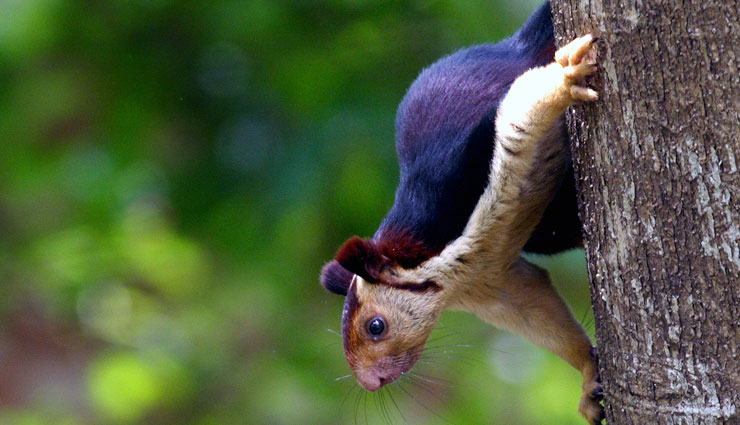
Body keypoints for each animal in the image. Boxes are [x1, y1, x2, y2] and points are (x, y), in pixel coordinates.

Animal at [320, 3, 604, 423]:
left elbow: (519, 113)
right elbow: (541, 315)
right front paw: (587, 377)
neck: (447, 266)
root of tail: (512, 47)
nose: (371, 383)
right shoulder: (492, 286)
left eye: (376, 326)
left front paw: (567, 78)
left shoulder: (462, 175)